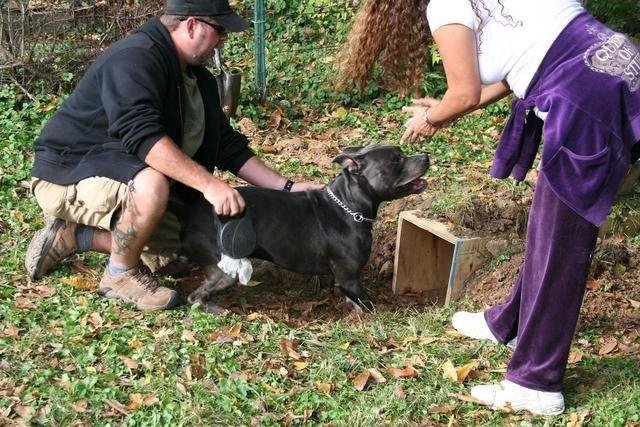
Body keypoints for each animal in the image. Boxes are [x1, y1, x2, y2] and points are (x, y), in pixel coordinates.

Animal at [177, 144, 429, 313]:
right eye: (396, 160)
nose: (426, 156)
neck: (348, 205)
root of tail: (191, 214)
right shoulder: (349, 278)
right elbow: (367, 302)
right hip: (225, 269)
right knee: (195, 297)